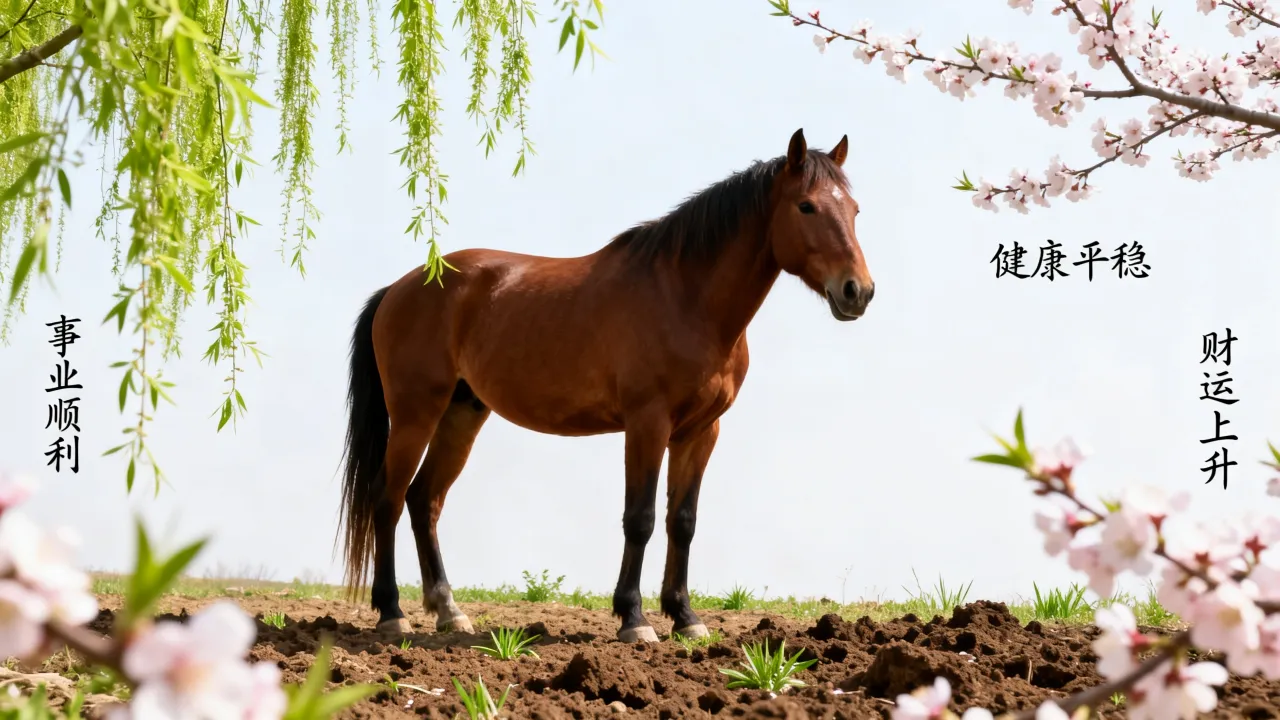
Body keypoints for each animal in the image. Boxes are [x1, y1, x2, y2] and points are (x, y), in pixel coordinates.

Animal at [336, 128, 875, 643]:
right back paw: (392, 614)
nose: (858, 291)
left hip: (461, 414)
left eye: (853, 209)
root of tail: (399, 288)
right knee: (387, 498)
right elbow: (640, 519)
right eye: (806, 206)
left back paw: (449, 612)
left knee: (424, 500)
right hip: (415, 415)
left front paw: (685, 617)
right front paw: (634, 618)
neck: (686, 299)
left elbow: (683, 522)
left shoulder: (701, 432)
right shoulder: (647, 424)